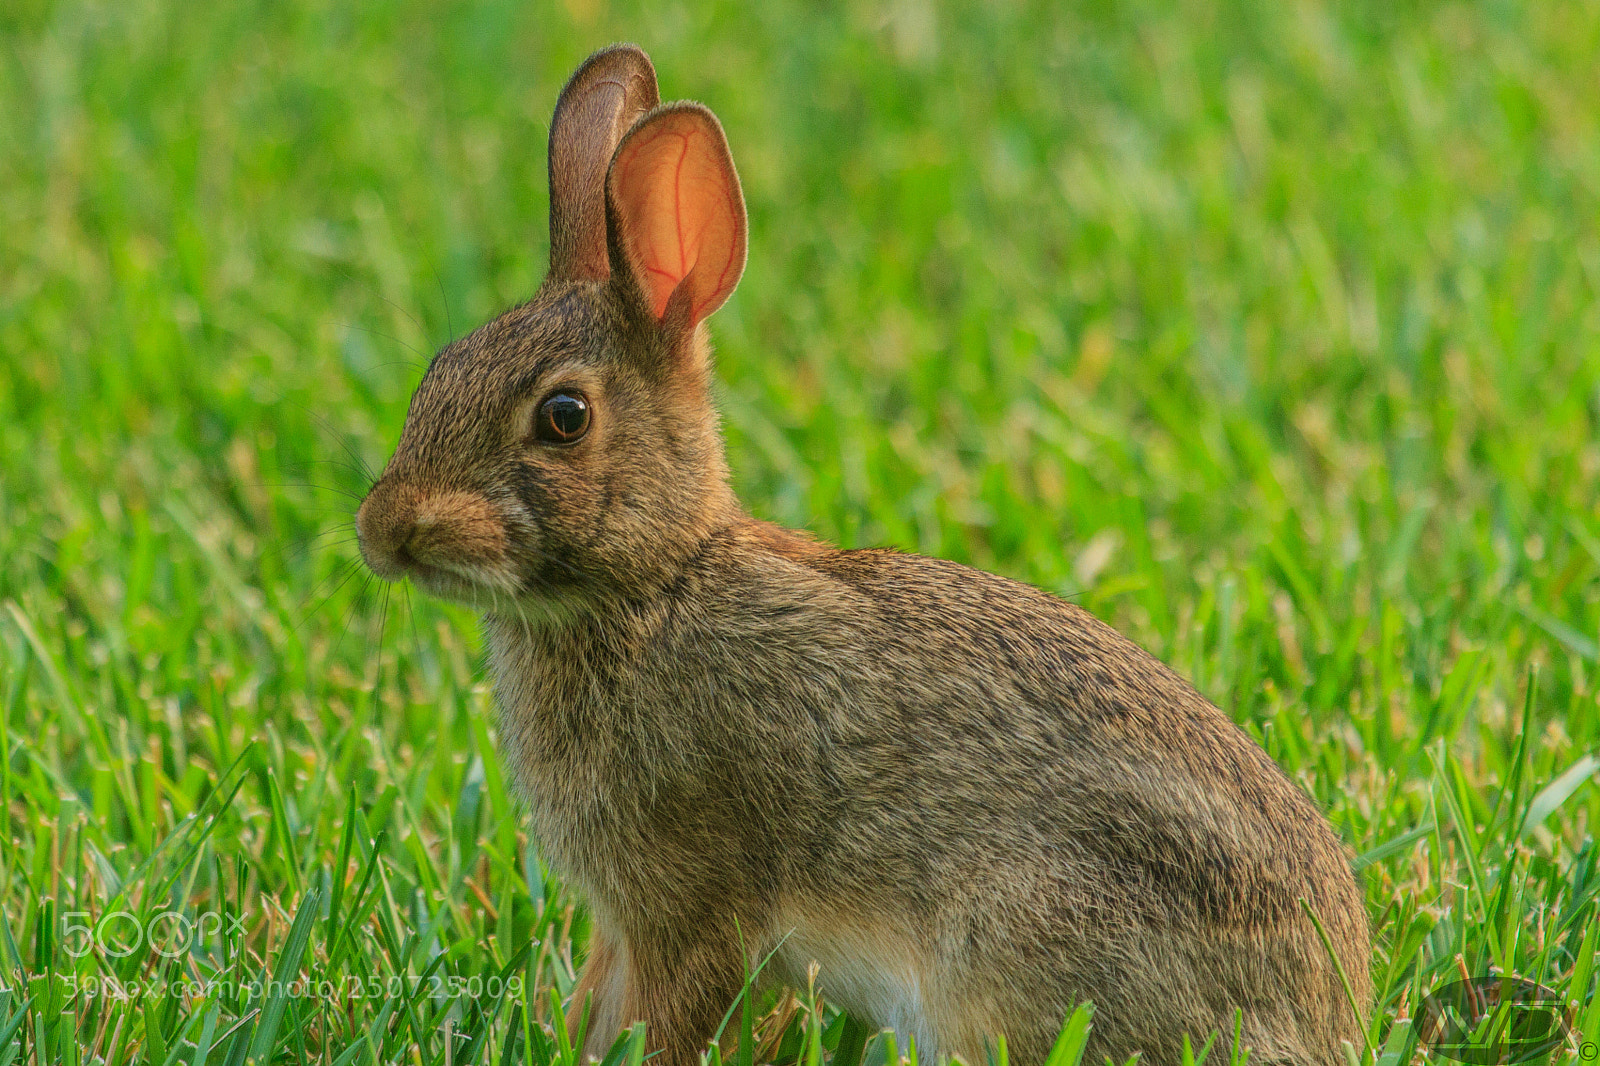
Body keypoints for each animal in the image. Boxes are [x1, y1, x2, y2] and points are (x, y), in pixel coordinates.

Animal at [355, 43, 1372, 1066]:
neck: (658, 583)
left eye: (563, 417)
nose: (381, 531)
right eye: (440, 367)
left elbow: (669, 1013)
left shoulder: (694, 900)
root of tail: (1331, 1017)